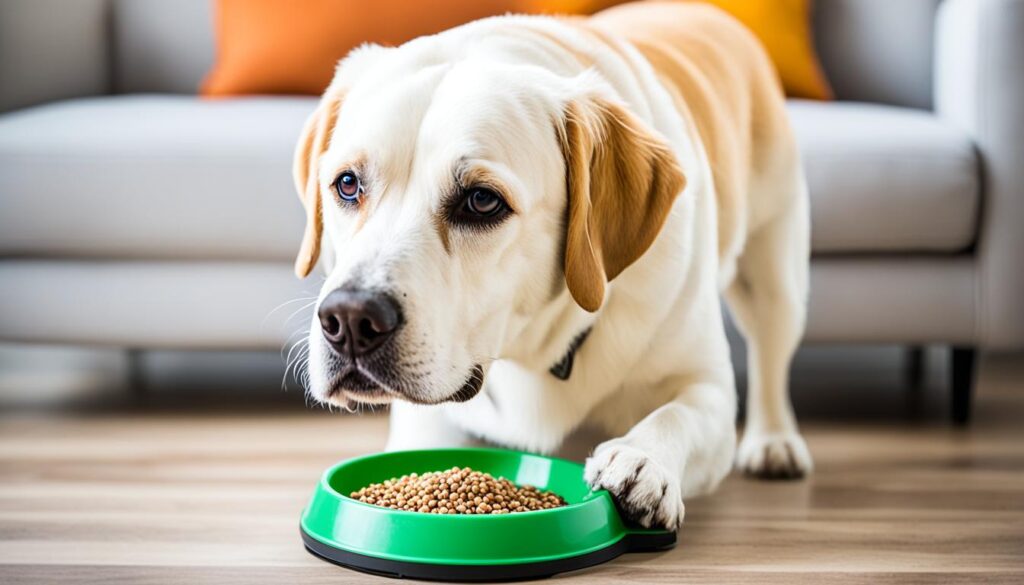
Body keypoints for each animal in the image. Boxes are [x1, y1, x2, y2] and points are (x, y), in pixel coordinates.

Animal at [292, 1, 811, 532]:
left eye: (482, 201)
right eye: (347, 185)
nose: (350, 319)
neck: (531, 353)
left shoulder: (710, 387)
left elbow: (677, 414)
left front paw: (642, 461)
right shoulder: (427, 420)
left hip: (776, 275)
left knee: (771, 355)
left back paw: (774, 442)